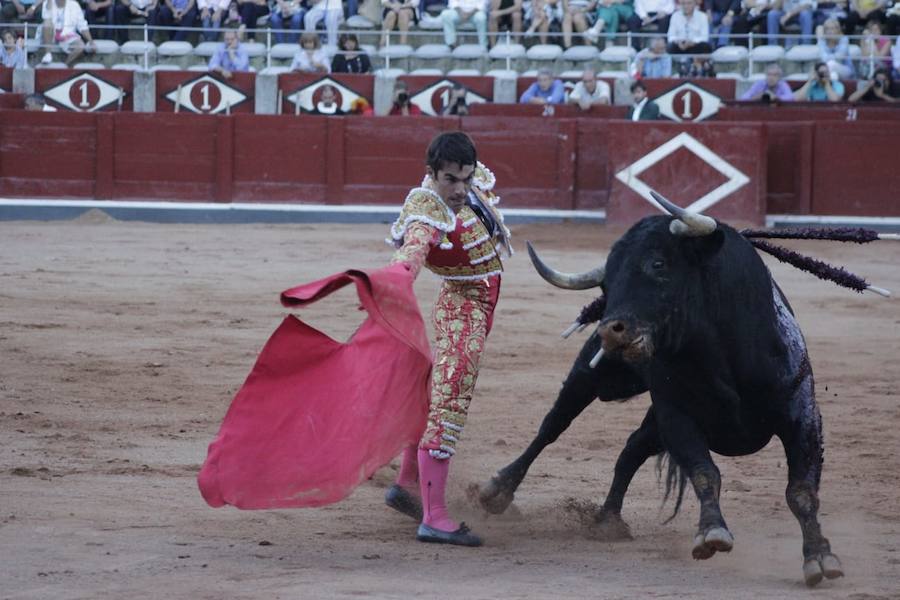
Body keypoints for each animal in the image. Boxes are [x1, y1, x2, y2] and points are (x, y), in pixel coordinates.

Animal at [478, 206, 844, 584]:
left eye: (658, 264)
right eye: (606, 283)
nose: (609, 331)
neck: (719, 355)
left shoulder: (802, 415)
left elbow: (801, 491)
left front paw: (819, 557)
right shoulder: (676, 416)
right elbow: (705, 472)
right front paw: (711, 532)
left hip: (651, 420)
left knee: (631, 448)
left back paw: (608, 519)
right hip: (591, 375)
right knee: (552, 426)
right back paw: (499, 490)